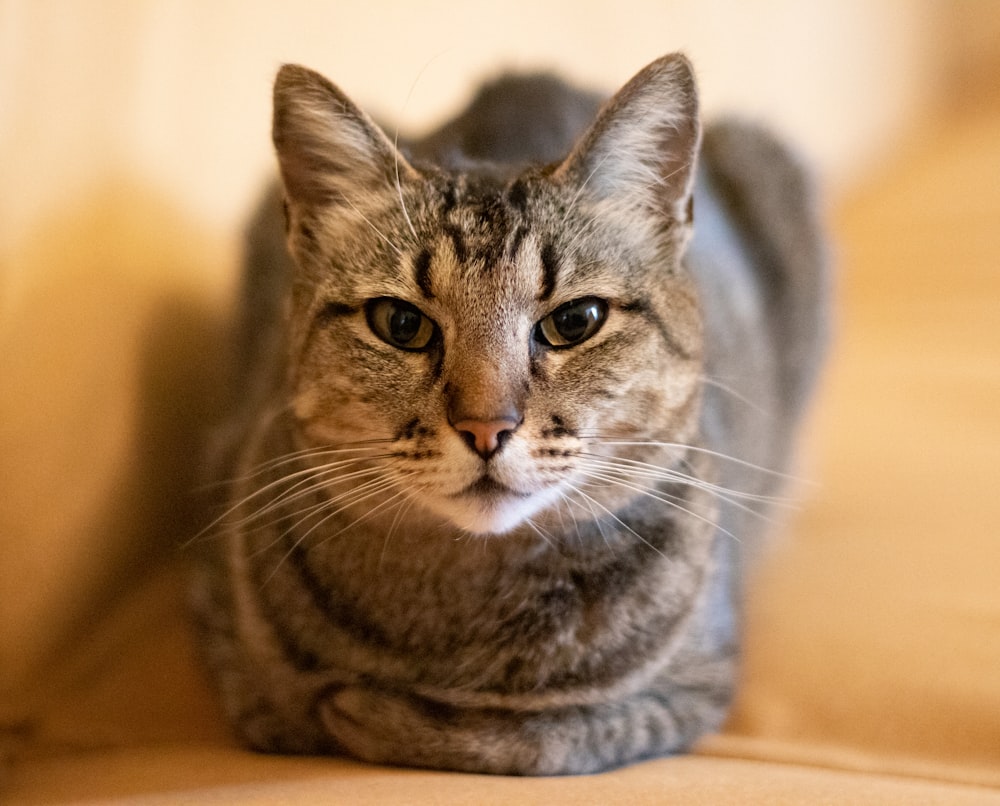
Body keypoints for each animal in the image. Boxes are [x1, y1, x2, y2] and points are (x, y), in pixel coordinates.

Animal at [189, 52, 828, 776]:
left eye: (575, 321)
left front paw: (373, 714)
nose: (486, 428)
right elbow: (280, 701)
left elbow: (535, 738)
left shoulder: (688, 692)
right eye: (401, 323)